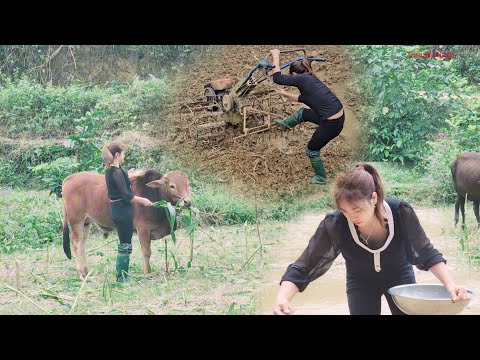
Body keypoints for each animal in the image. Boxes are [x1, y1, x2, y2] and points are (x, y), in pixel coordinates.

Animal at [61, 169, 191, 276]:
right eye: (172, 186)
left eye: (187, 184)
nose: (187, 201)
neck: (154, 194)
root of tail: (70, 178)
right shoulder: (143, 229)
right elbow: (146, 252)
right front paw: (147, 272)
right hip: (76, 220)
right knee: (76, 243)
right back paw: (81, 273)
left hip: (86, 222)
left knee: (82, 244)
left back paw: (86, 270)